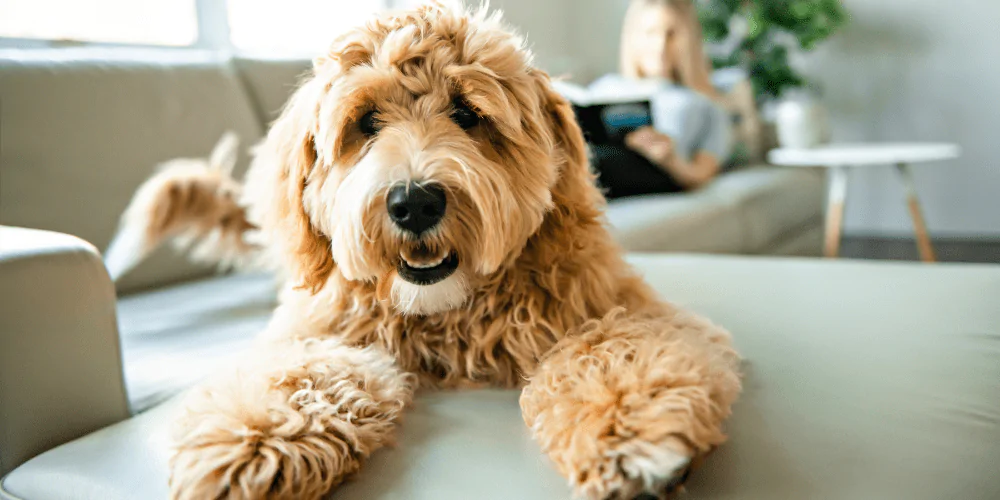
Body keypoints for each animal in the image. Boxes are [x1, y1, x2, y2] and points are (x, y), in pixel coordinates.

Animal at [107, 1, 744, 498]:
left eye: (467, 113)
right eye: (366, 122)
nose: (414, 203)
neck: (447, 316)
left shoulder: (621, 306)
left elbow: (612, 347)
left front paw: (631, 432)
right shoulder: (316, 329)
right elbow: (302, 371)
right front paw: (253, 441)